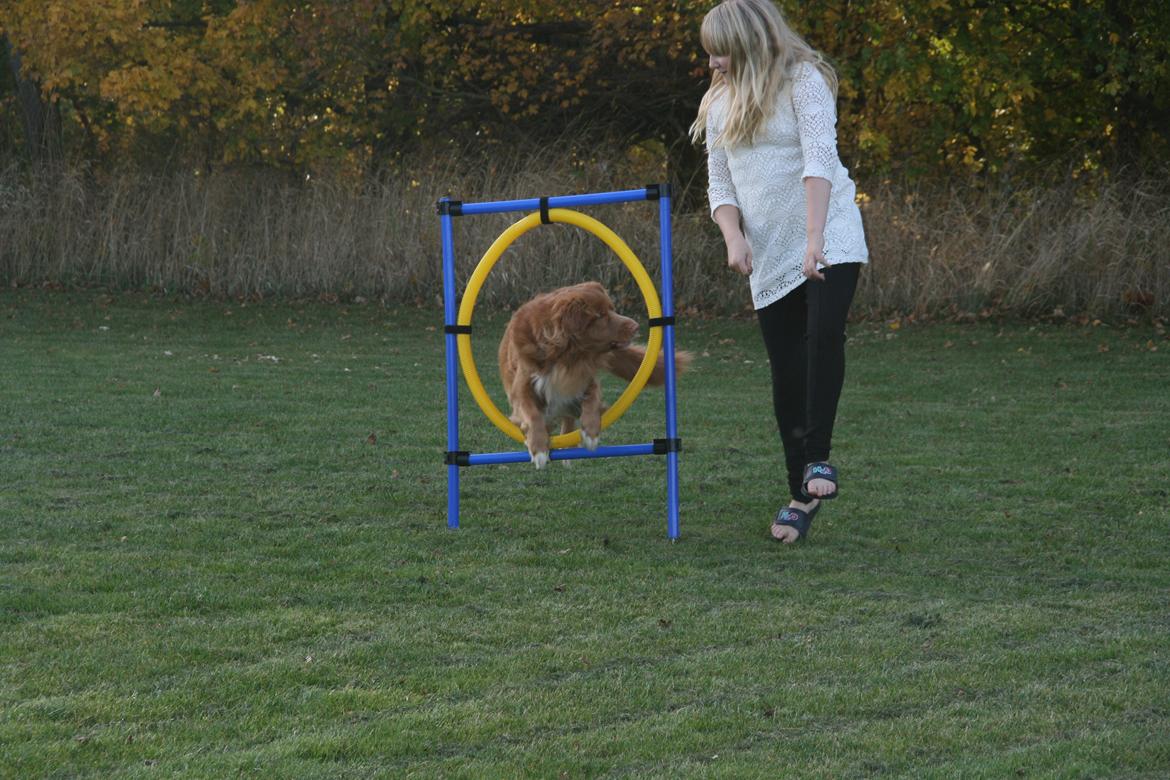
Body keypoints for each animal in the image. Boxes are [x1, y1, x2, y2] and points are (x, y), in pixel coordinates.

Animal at [498, 280, 687, 467]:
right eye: (600, 315)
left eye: (612, 308)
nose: (635, 326)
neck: (565, 355)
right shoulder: (521, 388)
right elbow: (532, 414)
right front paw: (538, 448)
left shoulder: (584, 378)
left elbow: (592, 400)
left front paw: (590, 432)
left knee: (568, 418)